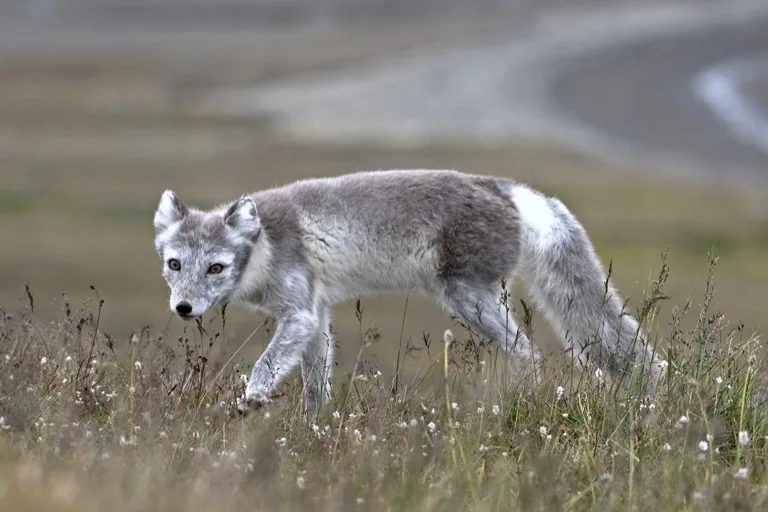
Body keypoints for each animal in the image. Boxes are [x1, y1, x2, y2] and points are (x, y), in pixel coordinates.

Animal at [152, 169, 665, 416]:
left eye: (216, 267)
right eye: (174, 264)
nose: (182, 308)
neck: (265, 247)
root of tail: (512, 190)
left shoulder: (297, 313)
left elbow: (266, 364)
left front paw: (253, 398)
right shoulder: (314, 313)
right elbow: (316, 381)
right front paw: (314, 428)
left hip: (466, 297)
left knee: (527, 350)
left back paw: (519, 399)